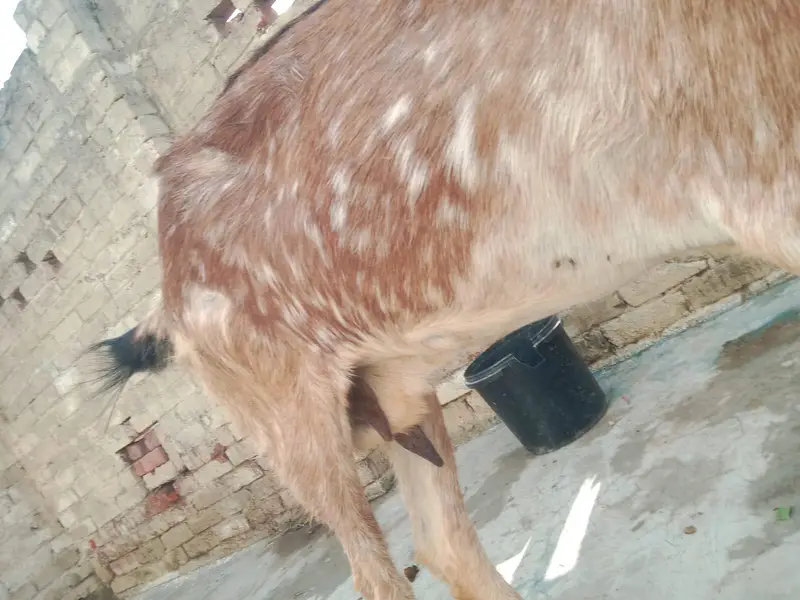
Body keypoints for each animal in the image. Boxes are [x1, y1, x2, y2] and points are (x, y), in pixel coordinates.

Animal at [89, 0, 800, 598]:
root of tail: (165, 295)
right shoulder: (760, 177)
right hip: (292, 423)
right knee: (376, 574)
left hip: (395, 388)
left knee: (442, 542)